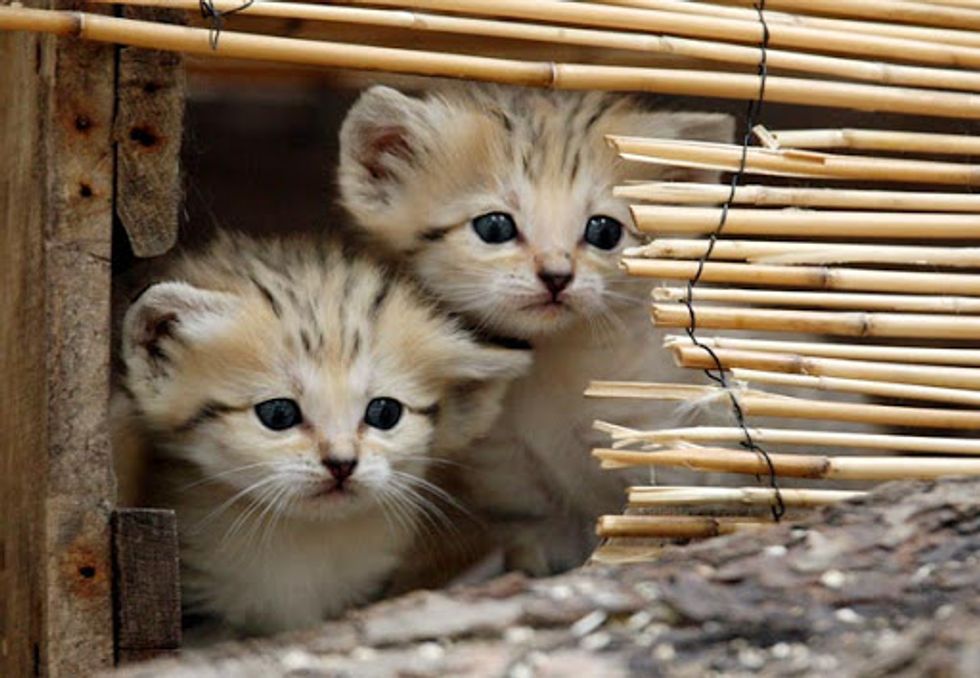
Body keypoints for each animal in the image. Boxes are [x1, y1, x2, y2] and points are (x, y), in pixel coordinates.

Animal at [340, 83, 732, 572]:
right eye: (494, 226)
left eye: (604, 230)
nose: (557, 275)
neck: (547, 369)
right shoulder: (515, 483)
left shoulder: (650, 442)